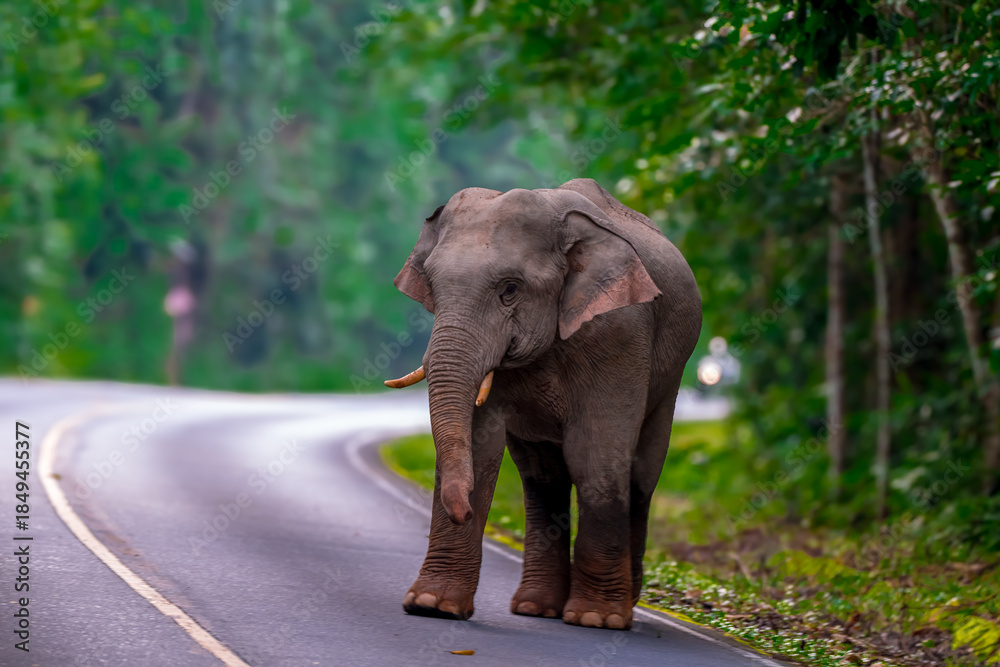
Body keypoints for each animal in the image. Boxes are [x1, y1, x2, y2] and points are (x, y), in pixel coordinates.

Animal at [385, 178, 702, 630]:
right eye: (432, 284)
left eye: (510, 289)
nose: (463, 513)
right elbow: (482, 446)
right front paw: (433, 606)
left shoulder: (620, 333)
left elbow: (595, 454)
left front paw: (596, 620)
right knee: (542, 477)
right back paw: (537, 607)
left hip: (672, 375)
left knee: (640, 473)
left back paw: (620, 606)